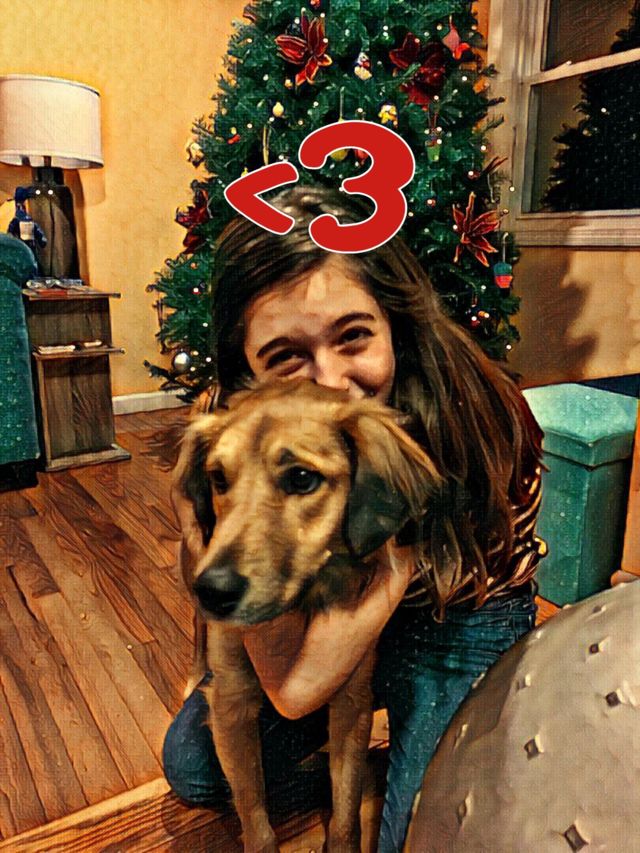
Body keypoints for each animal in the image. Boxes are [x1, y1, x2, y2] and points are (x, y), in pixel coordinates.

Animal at [172, 378, 440, 852]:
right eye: (218, 477)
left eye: (301, 478)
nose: (214, 592)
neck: (302, 602)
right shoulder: (232, 703)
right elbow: (255, 816)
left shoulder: (351, 695)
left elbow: (347, 808)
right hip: (191, 559)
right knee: (197, 630)